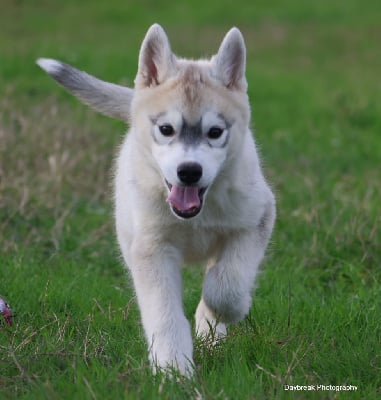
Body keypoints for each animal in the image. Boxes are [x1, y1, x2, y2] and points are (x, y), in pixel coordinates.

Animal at [37, 24, 274, 376]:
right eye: (166, 129)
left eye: (215, 132)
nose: (188, 171)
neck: (196, 216)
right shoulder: (152, 249)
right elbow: (164, 314)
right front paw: (173, 369)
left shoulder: (257, 218)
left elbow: (227, 286)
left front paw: (221, 314)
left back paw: (211, 331)